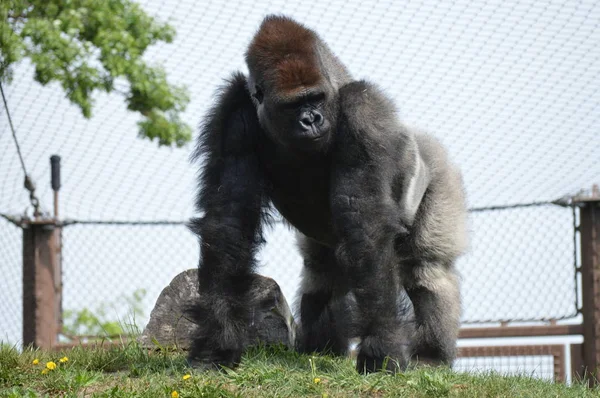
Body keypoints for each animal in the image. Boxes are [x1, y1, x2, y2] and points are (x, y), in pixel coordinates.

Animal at [188, 14, 468, 374]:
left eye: (316, 98)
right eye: (294, 104)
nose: (311, 120)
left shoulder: (364, 110)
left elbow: (365, 227)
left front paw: (383, 347)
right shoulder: (233, 114)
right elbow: (230, 219)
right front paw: (218, 339)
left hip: (440, 173)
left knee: (427, 268)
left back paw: (431, 355)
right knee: (321, 271)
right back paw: (321, 348)